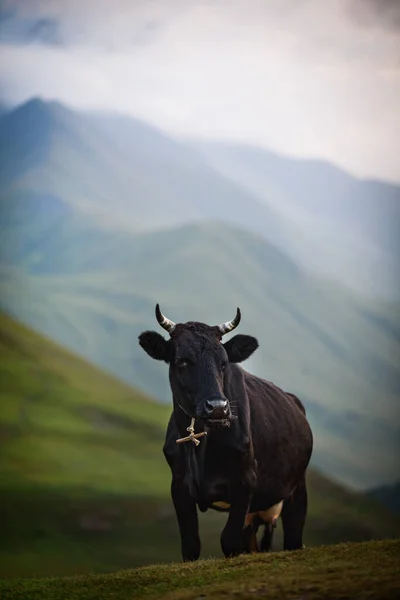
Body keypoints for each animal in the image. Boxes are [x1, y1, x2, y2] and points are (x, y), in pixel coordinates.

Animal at [139, 308, 314, 560]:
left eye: (224, 363)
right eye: (181, 360)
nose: (218, 407)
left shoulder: (245, 482)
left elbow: (229, 542)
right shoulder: (179, 486)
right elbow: (191, 546)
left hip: (296, 490)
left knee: (293, 538)